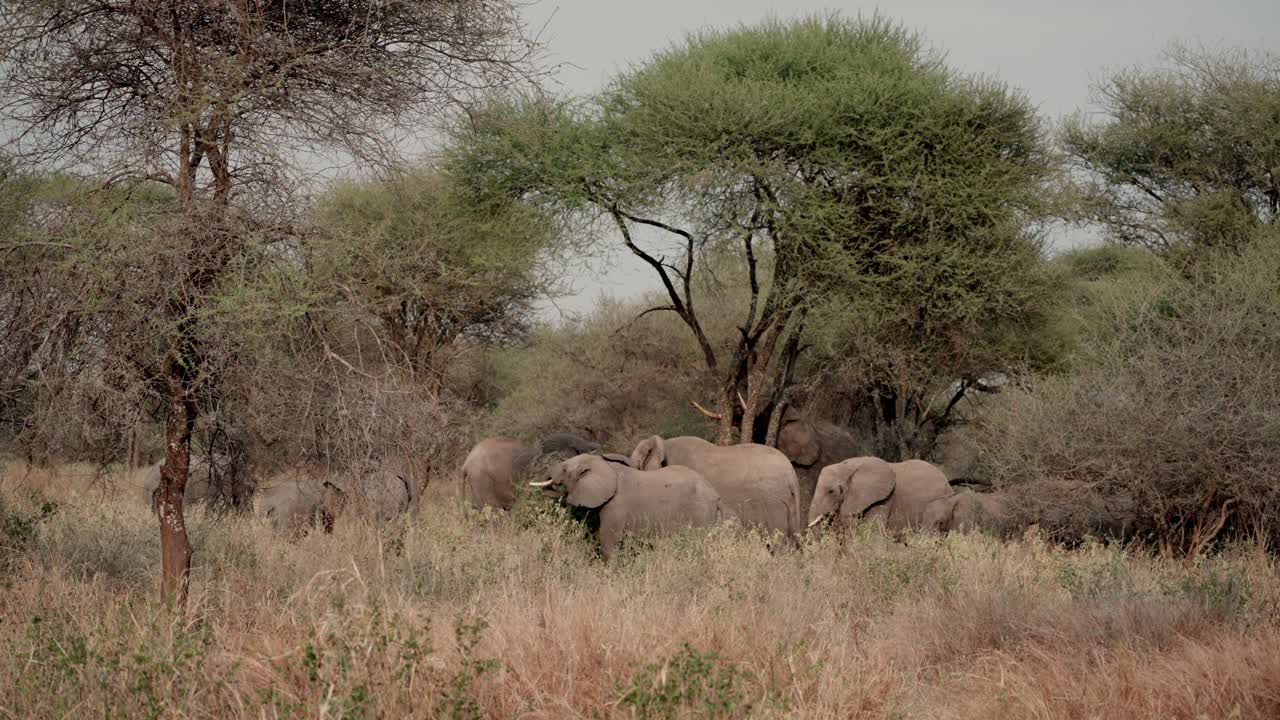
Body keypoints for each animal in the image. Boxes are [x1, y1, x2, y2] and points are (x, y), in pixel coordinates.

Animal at [531, 453, 722, 560]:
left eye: (564, 469)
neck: (604, 465)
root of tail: (715, 494)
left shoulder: (616, 506)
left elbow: (608, 538)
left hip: (699, 513)